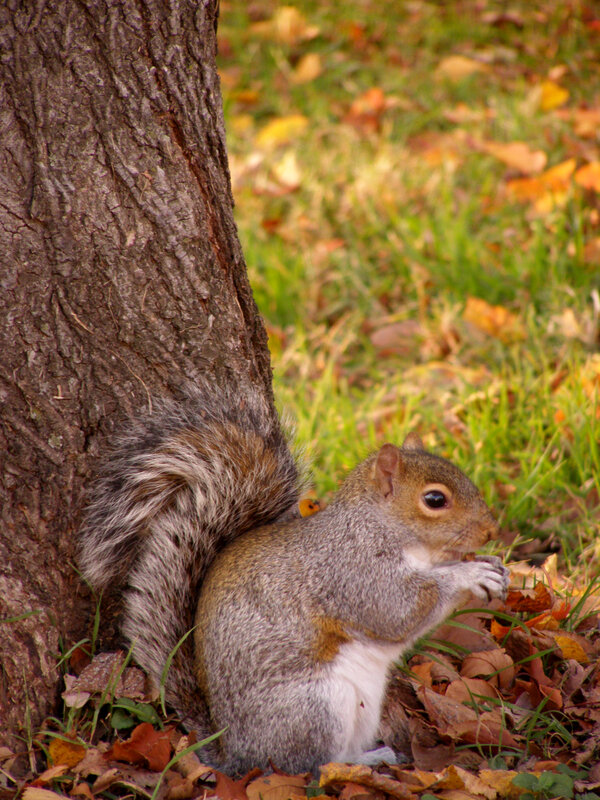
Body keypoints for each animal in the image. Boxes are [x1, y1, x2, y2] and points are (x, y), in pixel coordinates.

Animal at [79, 383, 509, 776]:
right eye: (435, 500)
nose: (492, 530)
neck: (380, 527)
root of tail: (236, 755)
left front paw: (492, 564)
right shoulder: (351, 571)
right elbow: (396, 611)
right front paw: (471, 574)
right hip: (316, 708)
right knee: (310, 765)